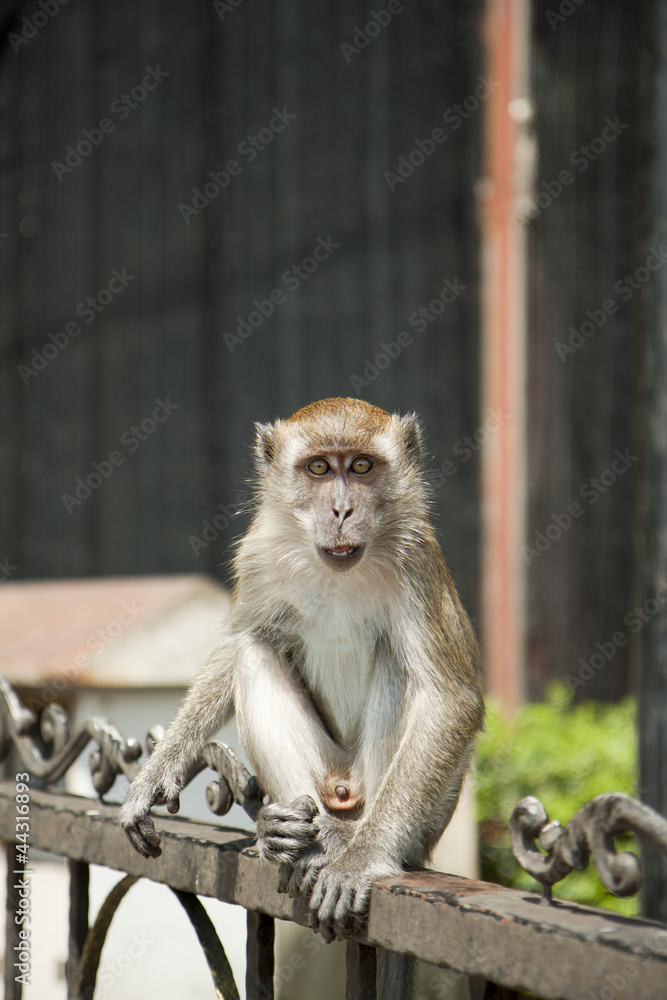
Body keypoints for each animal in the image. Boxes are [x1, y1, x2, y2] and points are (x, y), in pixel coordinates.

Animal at [120, 397, 484, 998]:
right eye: (318, 468)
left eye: (360, 467)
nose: (340, 509)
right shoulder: (258, 553)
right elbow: (236, 647)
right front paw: (157, 772)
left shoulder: (416, 557)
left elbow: (450, 698)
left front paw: (363, 860)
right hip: (324, 774)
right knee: (254, 651)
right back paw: (290, 839)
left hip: (421, 808)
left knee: (397, 660)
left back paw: (349, 842)